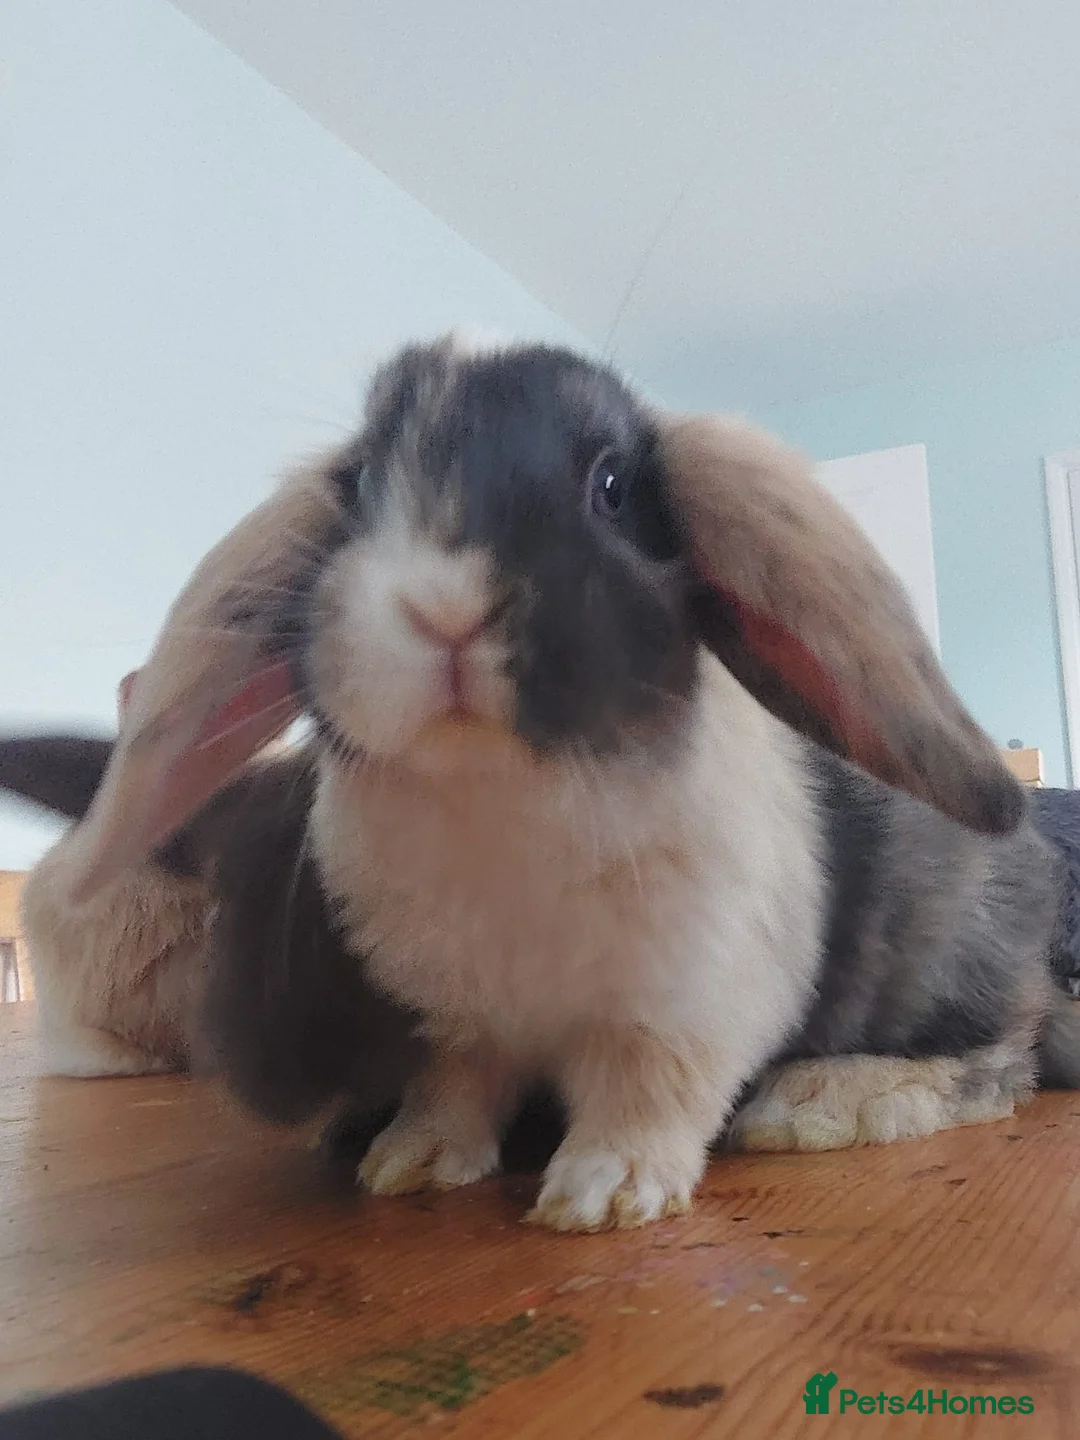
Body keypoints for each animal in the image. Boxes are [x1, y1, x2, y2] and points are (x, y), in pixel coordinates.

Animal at [59, 333, 1078, 1232]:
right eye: (355, 488)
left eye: (612, 487)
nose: (442, 611)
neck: (501, 795)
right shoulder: (453, 1022)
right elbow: (456, 1088)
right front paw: (413, 1162)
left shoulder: (688, 1004)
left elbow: (650, 1093)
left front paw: (605, 1193)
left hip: (943, 949)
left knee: (1000, 1060)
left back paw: (821, 1104)